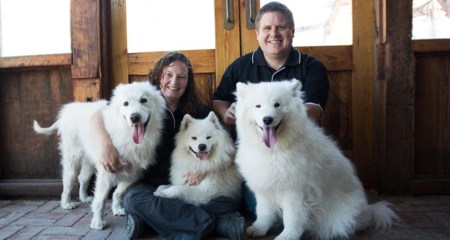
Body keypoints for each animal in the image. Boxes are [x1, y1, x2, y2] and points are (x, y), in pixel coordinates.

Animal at [32, 81, 165, 230]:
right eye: (125, 103)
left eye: (144, 100)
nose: (134, 117)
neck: (126, 133)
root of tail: (67, 111)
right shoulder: (106, 174)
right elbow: (100, 200)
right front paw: (97, 222)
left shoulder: (133, 174)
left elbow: (117, 193)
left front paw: (116, 209)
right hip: (72, 159)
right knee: (68, 181)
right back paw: (66, 203)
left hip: (89, 161)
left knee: (83, 178)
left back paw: (84, 198)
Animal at [234, 80, 400, 240]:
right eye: (258, 106)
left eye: (277, 104)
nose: (267, 119)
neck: (275, 150)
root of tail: (368, 210)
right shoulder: (264, 187)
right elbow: (263, 212)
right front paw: (258, 229)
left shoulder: (297, 191)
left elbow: (293, 218)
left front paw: (287, 236)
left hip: (344, 215)